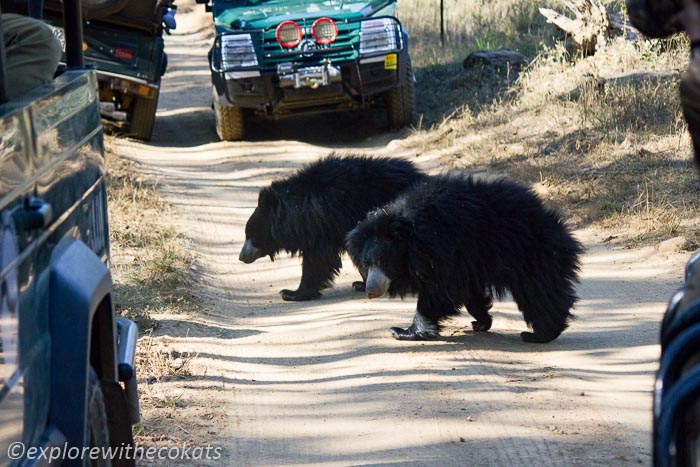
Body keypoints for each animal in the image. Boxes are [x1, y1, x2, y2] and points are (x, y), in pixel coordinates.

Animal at [241, 154, 426, 302]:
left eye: (251, 235)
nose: (241, 257)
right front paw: (361, 283)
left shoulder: (324, 224)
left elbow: (318, 259)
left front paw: (291, 293)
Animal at [346, 172, 584, 344]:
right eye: (366, 264)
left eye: (383, 262)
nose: (370, 291)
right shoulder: (464, 259)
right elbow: (467, 289)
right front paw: (482, 321)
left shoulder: (443, 248)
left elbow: (441, 291)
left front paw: (403, 331)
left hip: (531, 253)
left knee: (538, 292)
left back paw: (540, 334)